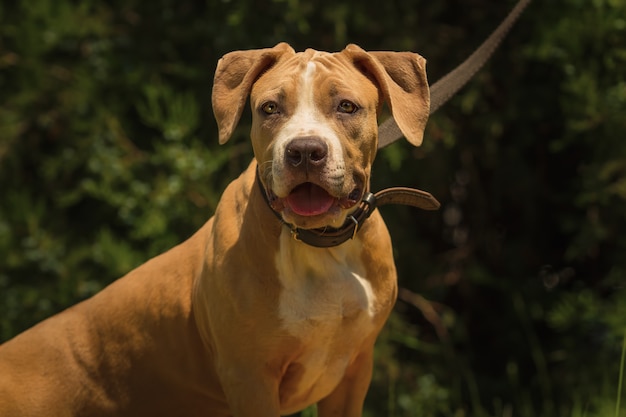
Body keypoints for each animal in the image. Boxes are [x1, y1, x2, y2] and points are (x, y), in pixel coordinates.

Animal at [0, 44, 428, 414]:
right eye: (269, 108)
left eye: (346, 106)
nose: (305, 151)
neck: (319, 246)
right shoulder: (250, 379)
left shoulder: (354, 371)